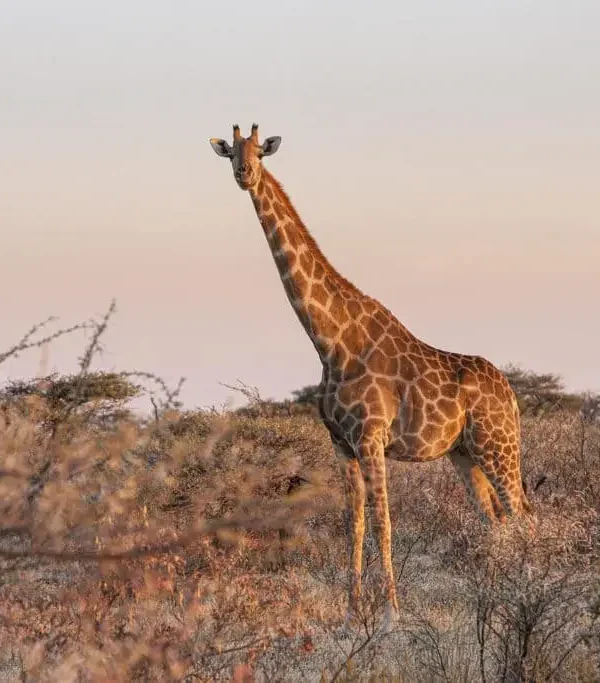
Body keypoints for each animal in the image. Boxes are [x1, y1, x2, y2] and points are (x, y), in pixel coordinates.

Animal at [209, 124, 532, 636]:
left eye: (259, 151)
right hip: (464, 453)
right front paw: (349, 615)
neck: (330, 339)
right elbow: (353, 523)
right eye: (230, 153)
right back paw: (497, 602)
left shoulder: (371, 437)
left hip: (498, 445)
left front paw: (389, 617)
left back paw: (527, 595)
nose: (244, 173)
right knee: (495, 519)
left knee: (522, 515)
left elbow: (383, 521)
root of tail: (513, 395)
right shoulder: (341, 443)